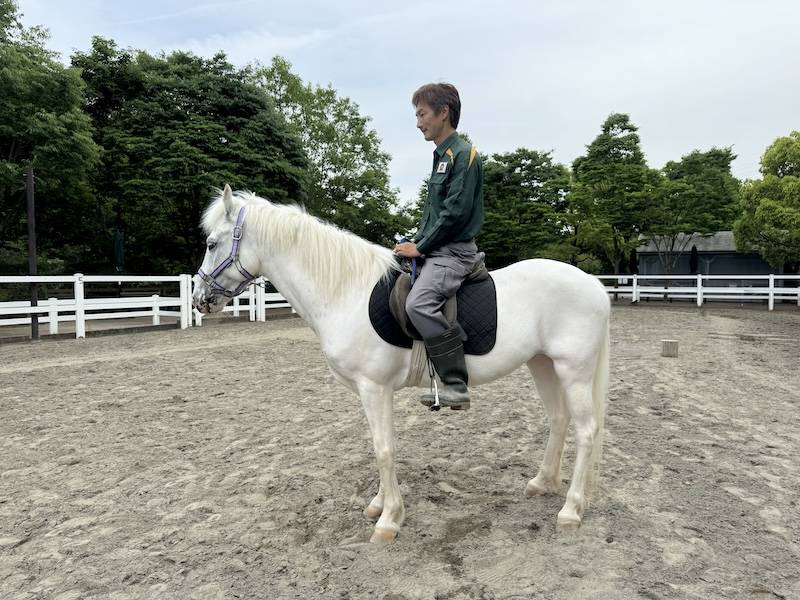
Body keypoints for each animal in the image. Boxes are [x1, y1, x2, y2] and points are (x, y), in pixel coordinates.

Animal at [193, 185, 610, 544]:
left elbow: (384, 449)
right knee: (559, 419)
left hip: (573, 370)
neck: (346, 289)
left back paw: (571, 510)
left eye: (212, 244)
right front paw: (379, 504)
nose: (199, 299)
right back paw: (543, 483)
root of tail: (593, 284)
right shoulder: (373, 392)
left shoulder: (373, 388)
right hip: (543, 364)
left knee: (587, 431)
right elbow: (381, 446)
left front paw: (389, 519)